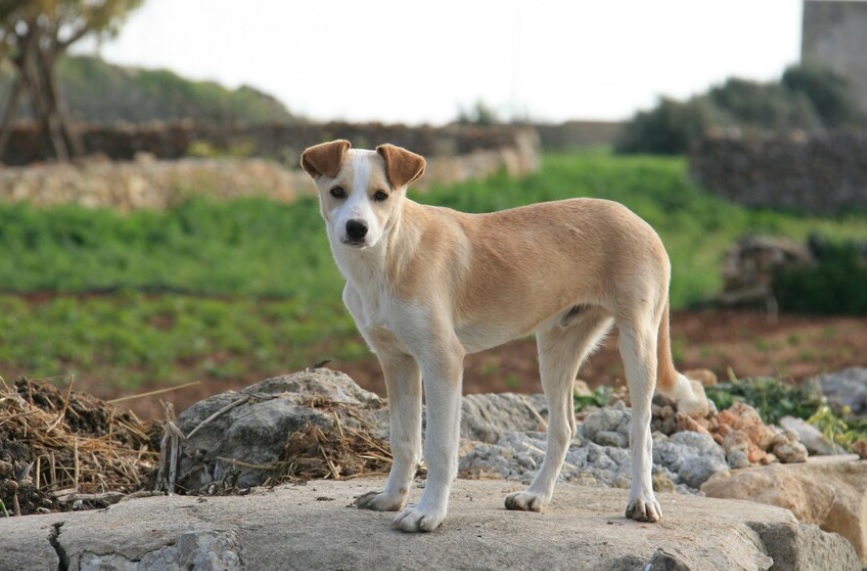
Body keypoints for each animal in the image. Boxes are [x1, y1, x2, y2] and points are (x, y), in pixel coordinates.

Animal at [302, 141, 708, 536]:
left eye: (381, 196)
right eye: (337, 192)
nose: (357, 228)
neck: (391, 255)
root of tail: (636, 218)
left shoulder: (443, 360)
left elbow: (439, 448)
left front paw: (428, 513)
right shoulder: (396, 362)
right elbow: (403, 441)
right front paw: (391, 498)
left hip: (638, 343)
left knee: (641, 430)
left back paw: (642, 501)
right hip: (556, 349)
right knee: (563, 428)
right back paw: (536, 495)